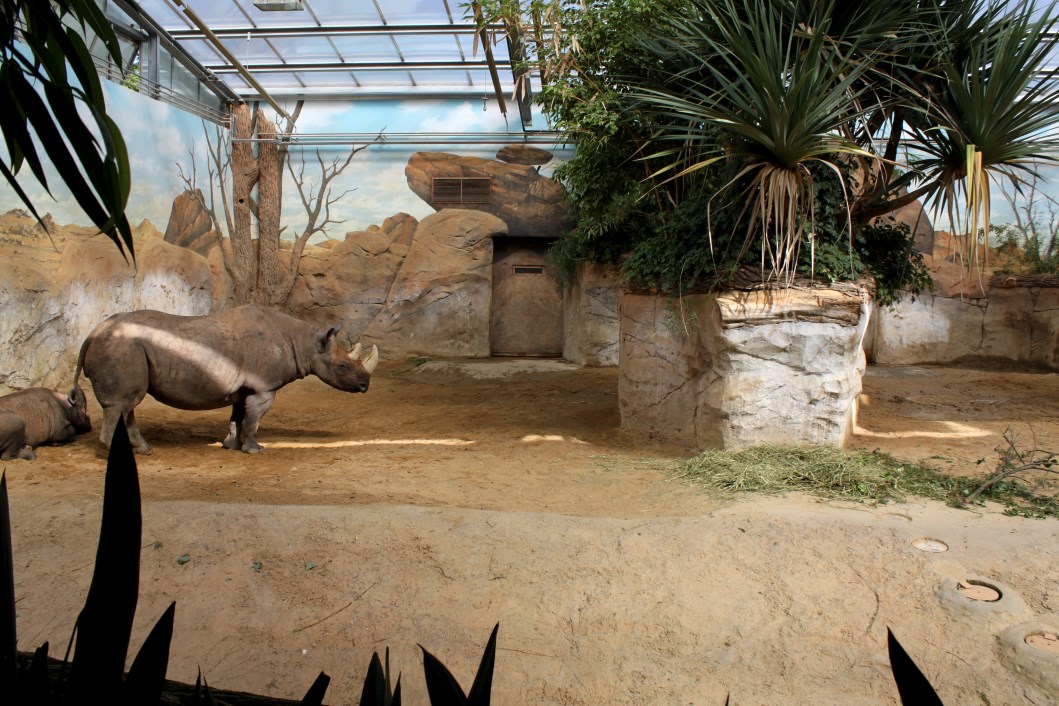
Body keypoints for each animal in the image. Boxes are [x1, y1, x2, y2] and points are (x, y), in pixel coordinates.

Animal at [74, 304, 379, 455]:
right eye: (342, 366)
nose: (365, 386)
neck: (303, 342)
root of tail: (92, 333)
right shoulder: (264, 387)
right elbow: (253, 420)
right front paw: (255, 450)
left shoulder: (245, 387)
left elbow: (238, 416)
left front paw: (231, 446)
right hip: (122, 347)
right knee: (122, 404)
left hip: (123, 346)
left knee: (126, 406)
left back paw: (144, 450)